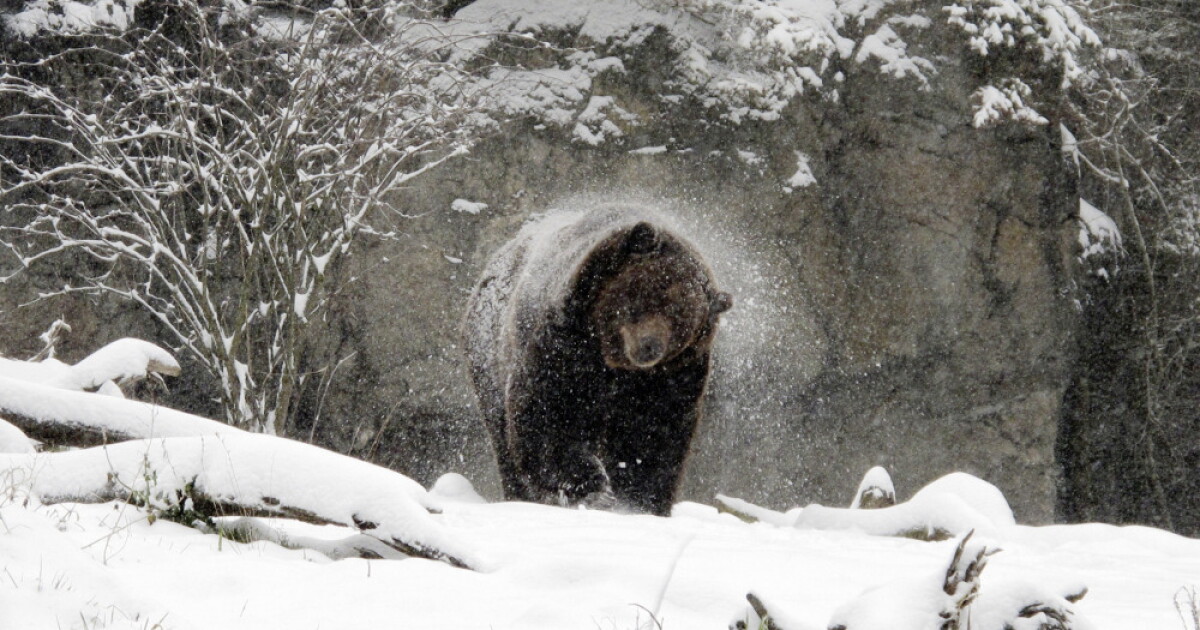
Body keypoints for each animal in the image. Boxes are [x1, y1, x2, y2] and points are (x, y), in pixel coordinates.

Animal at [463, 205, 731, 515]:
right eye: (650, 296)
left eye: (681, 323)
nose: (649, 348)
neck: (611, 359)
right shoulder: (565, 341)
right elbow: (553, 413)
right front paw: (592, 489)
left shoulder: (672, 375)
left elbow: (653, 432)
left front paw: (637, 501)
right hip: (488, 349)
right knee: (502, 433)